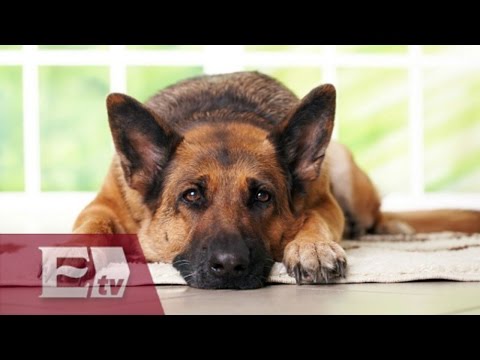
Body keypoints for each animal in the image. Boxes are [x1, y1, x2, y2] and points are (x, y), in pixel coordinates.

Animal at [74, 71, 480, 290]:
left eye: (262, 196)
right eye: (191, 195)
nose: (230, 266)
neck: (219, 112)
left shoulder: (324, 202)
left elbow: (314, 219)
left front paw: (312, 247)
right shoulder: (104, 204)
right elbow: (92, 224)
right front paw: (76, 254)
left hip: (341, 162)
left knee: (375, 215)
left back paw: (393, 228)